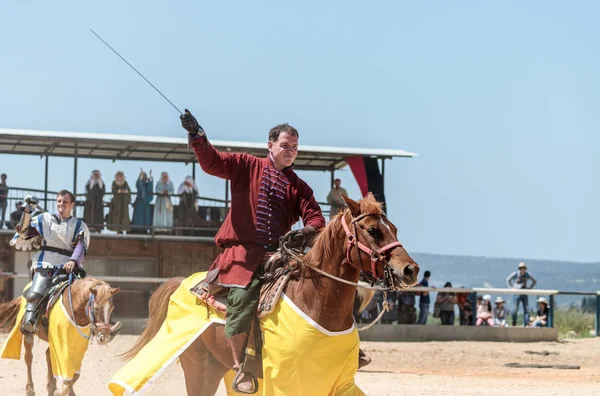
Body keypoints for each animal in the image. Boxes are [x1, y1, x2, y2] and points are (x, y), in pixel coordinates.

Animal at [124, 193, 420, 394]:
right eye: (373, 230)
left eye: (394, 229)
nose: (410, 270)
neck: (316, 304)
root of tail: (183, 282)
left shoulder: (338, 381)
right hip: (197, 367)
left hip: (217, 366)